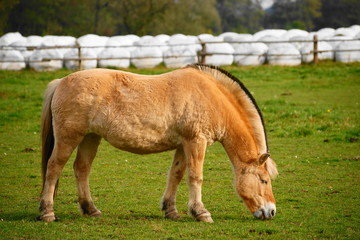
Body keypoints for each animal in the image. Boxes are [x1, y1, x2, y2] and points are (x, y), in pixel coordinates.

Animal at [38, 63, 278, 223]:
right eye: (264, 180)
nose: (271, 211)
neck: (209, 96)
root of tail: (60, 82)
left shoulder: (183, 144)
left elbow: (176, 175)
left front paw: (171, 210)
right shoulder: (196, 141)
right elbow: (195, 177)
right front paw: (201, 213)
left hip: (90, 138)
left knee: (82, 169)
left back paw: (91, 209)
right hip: (69, 138)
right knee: (54, 168)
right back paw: (47, 212)